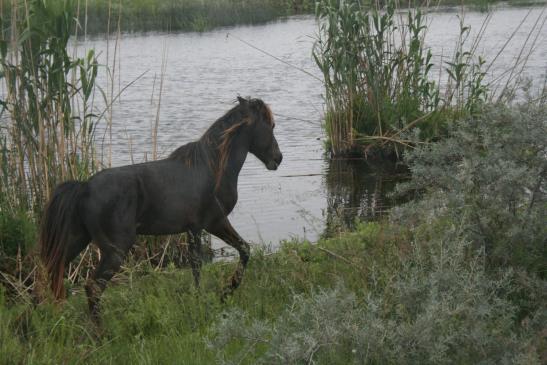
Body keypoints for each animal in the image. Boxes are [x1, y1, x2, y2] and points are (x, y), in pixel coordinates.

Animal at [39, 96, 282, 322]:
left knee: (53, 274)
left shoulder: (206, 226)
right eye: (270, 125)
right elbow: (199, 266)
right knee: (93, 287)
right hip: (115, 249)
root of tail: (84, 187)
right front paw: (208, 298)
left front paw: (225, 292)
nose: (278, 158)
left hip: (76, 240)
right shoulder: (206, 225)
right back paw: (101, 332)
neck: (213, 168)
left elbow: (242, 250)